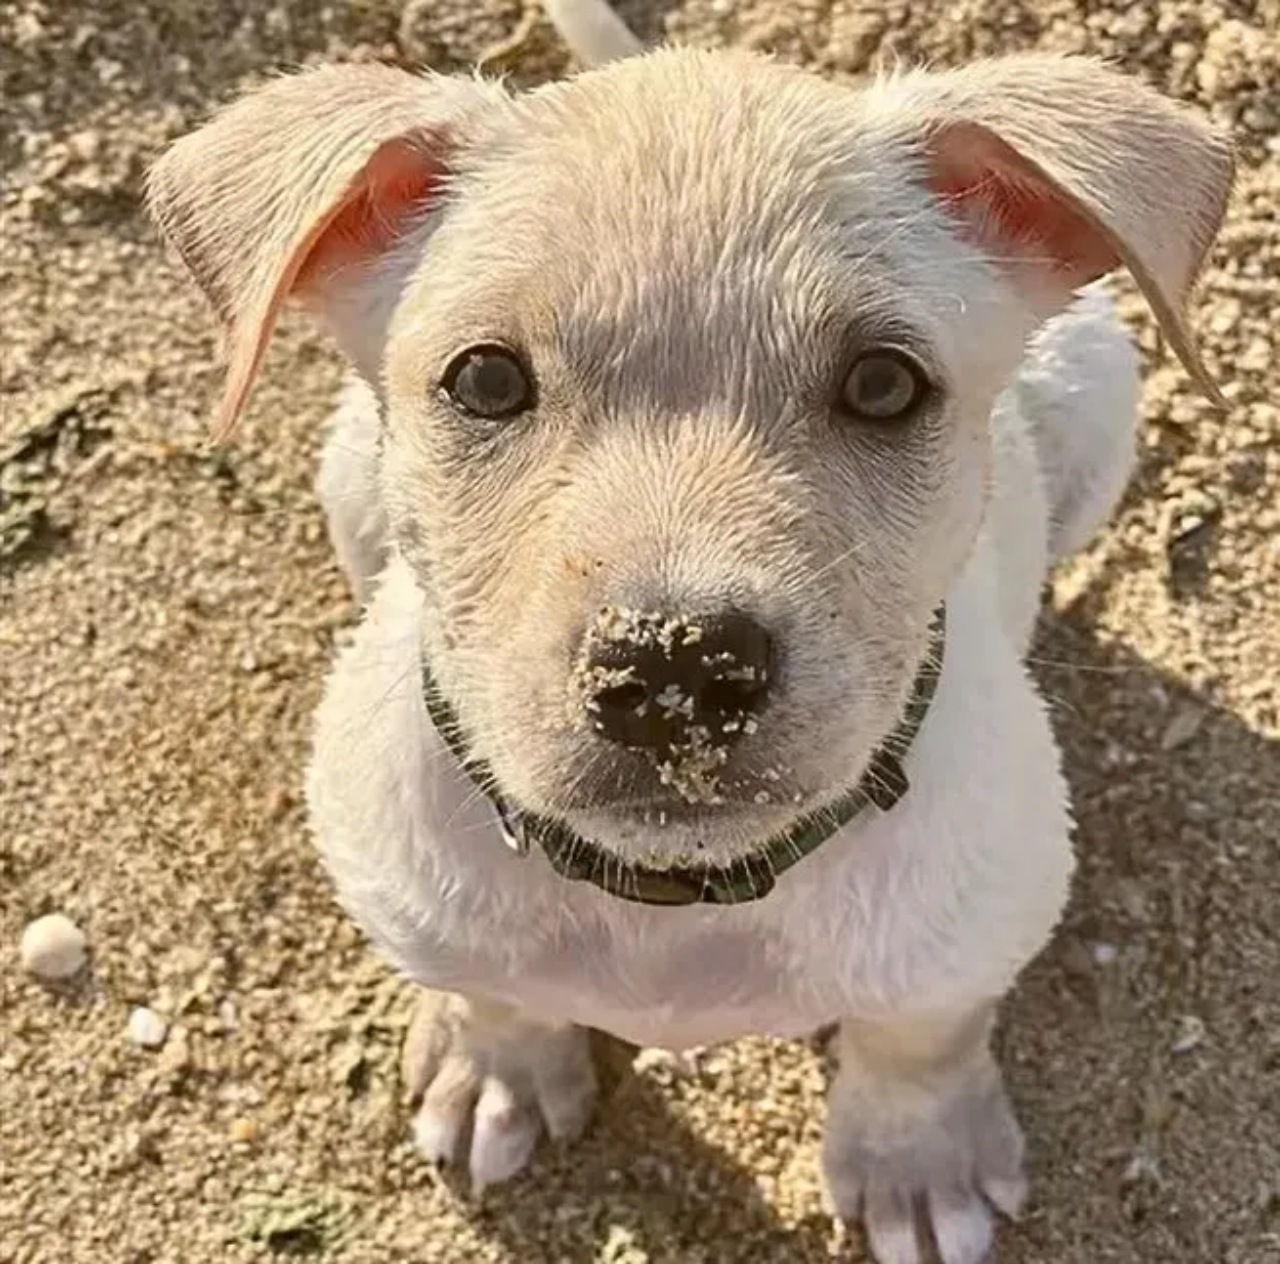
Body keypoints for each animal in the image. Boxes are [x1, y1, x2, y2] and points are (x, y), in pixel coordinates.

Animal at [147, 9, 1228, 1264]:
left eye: (881, 384)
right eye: (483, 379)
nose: (672, 665)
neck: (671, 897)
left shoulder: (982, 918)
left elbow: (919, 1035)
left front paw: (918, 1162)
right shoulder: (403, 888)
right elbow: (493, 988)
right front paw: (494, 1067)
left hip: (1101, 385)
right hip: (344, 480)